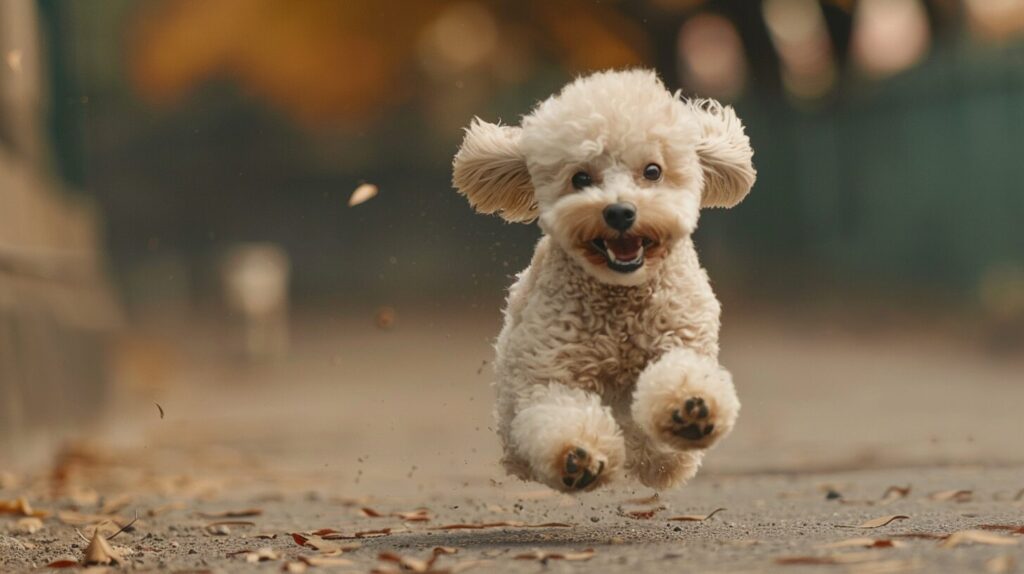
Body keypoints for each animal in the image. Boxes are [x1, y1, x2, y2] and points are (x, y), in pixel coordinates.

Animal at [452, 65, 757, 487]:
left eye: (652, 171)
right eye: (581, 178)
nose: (619, 212)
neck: (621, 301)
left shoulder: (682, 339)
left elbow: (682, 376)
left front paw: (690, 410)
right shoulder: (549, 373)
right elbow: (556, 412)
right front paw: (577, 456)